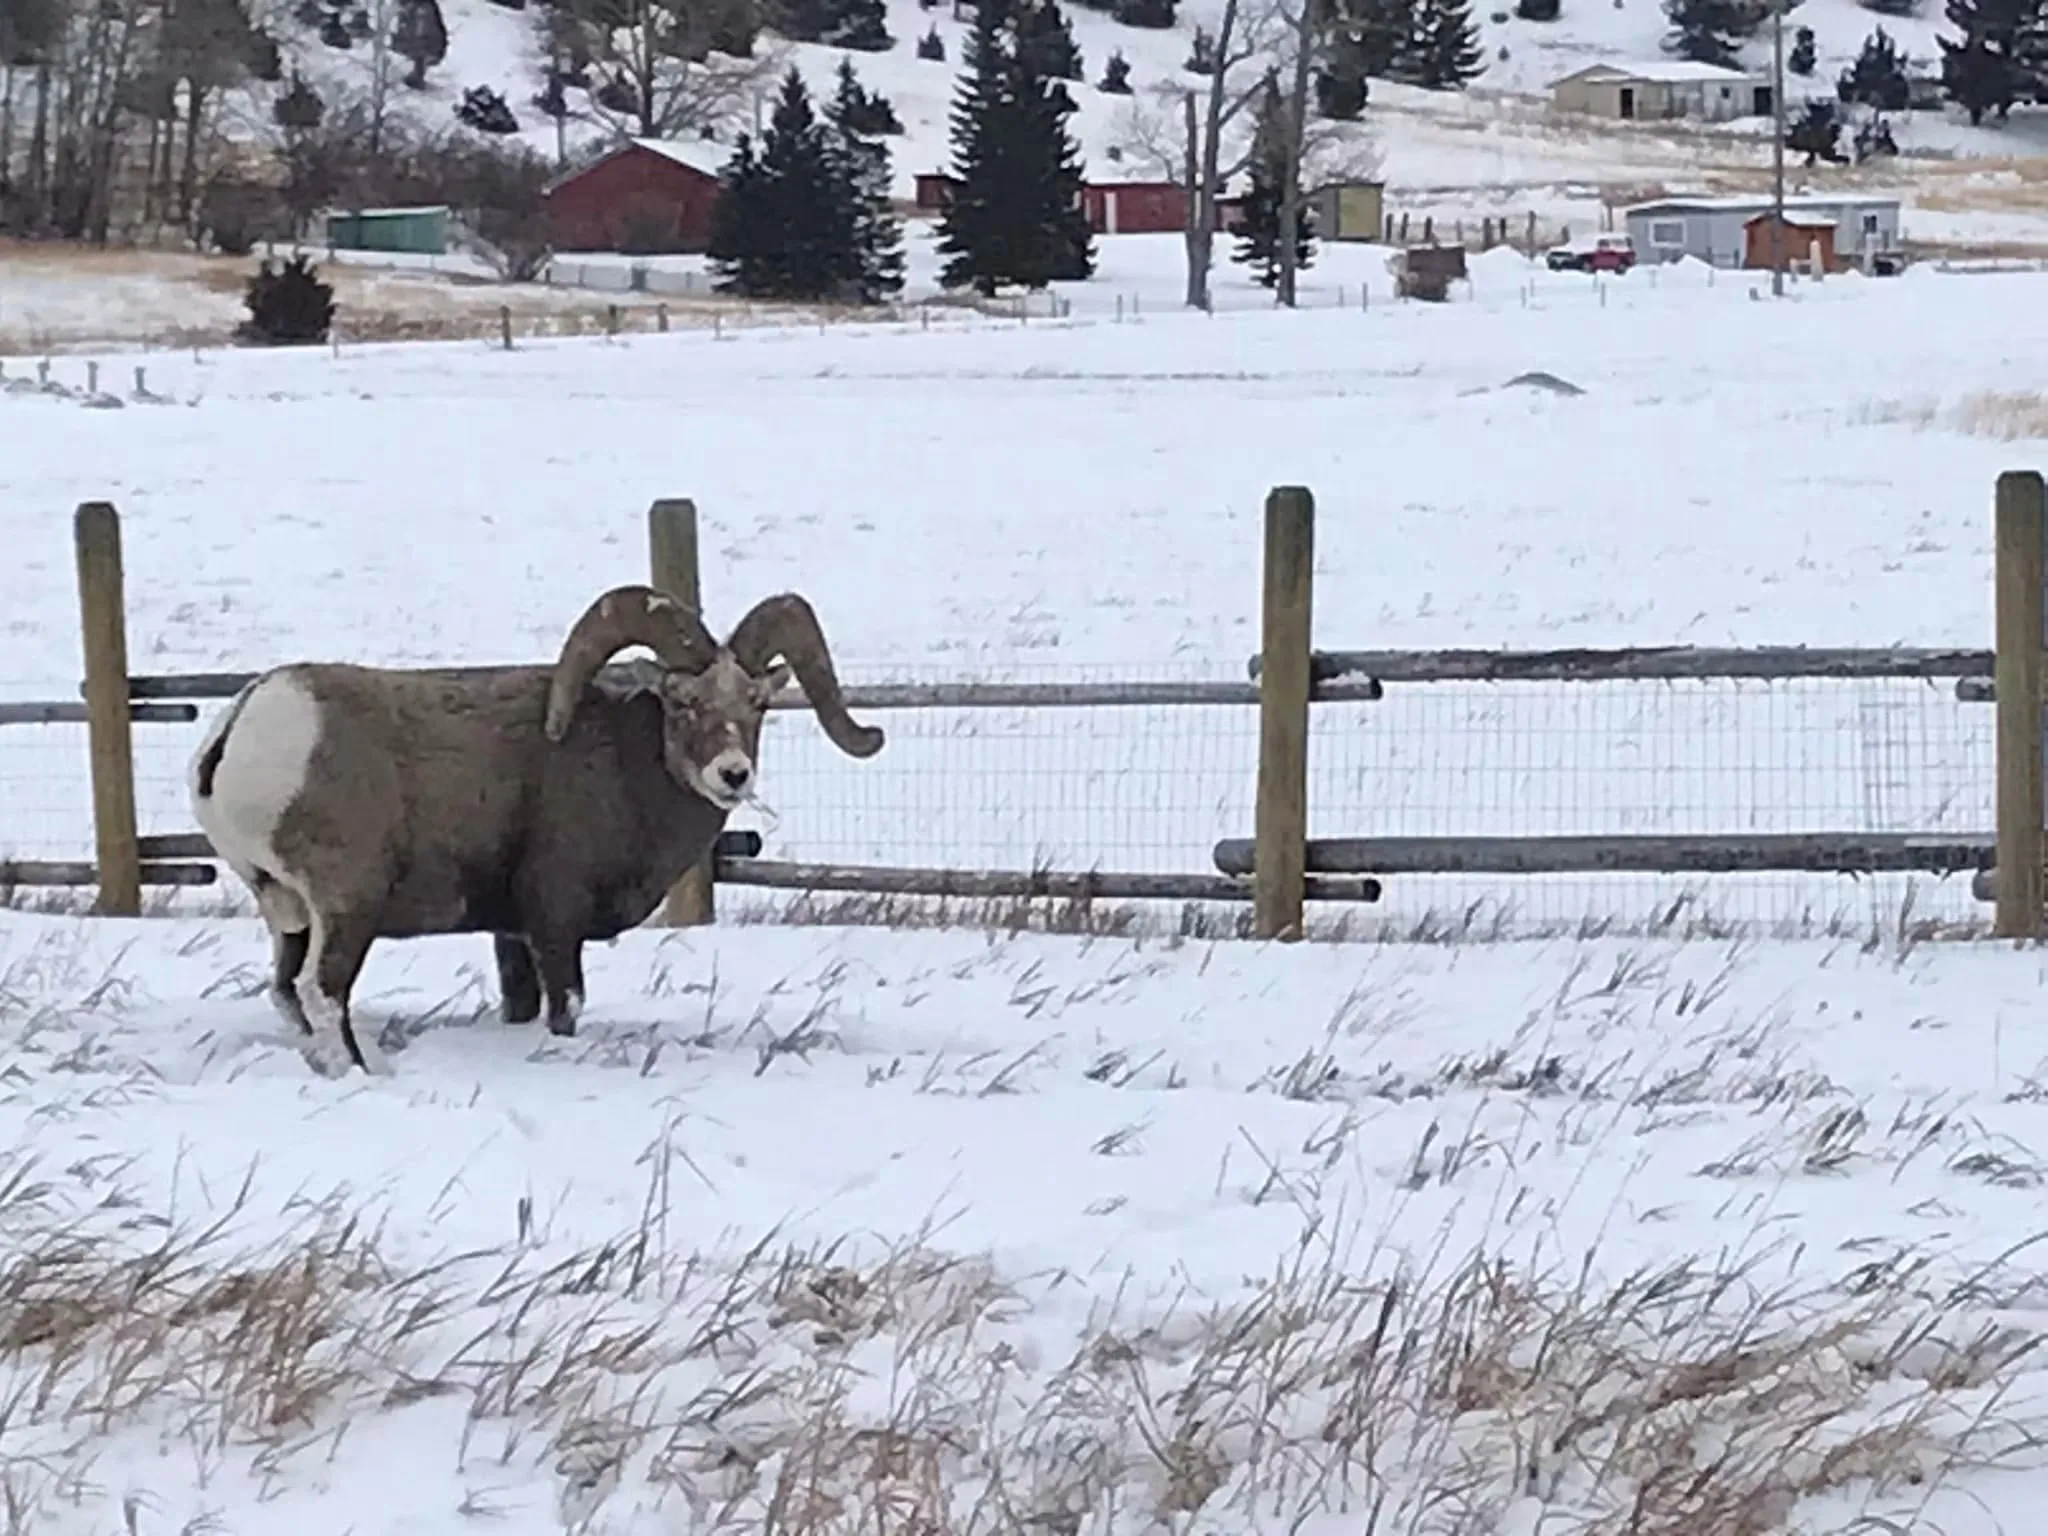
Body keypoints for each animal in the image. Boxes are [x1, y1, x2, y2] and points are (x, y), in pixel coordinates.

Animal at [188, 585, 884, 1076]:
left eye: (756, 704)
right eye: (684, 702)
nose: (733, 775)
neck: (623, 768)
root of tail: (245, 724)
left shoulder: (511, 933)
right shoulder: (555, 920)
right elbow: (566, 1007)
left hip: (290, 916)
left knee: (286, 993)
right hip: (346, 908)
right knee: (321, 992)